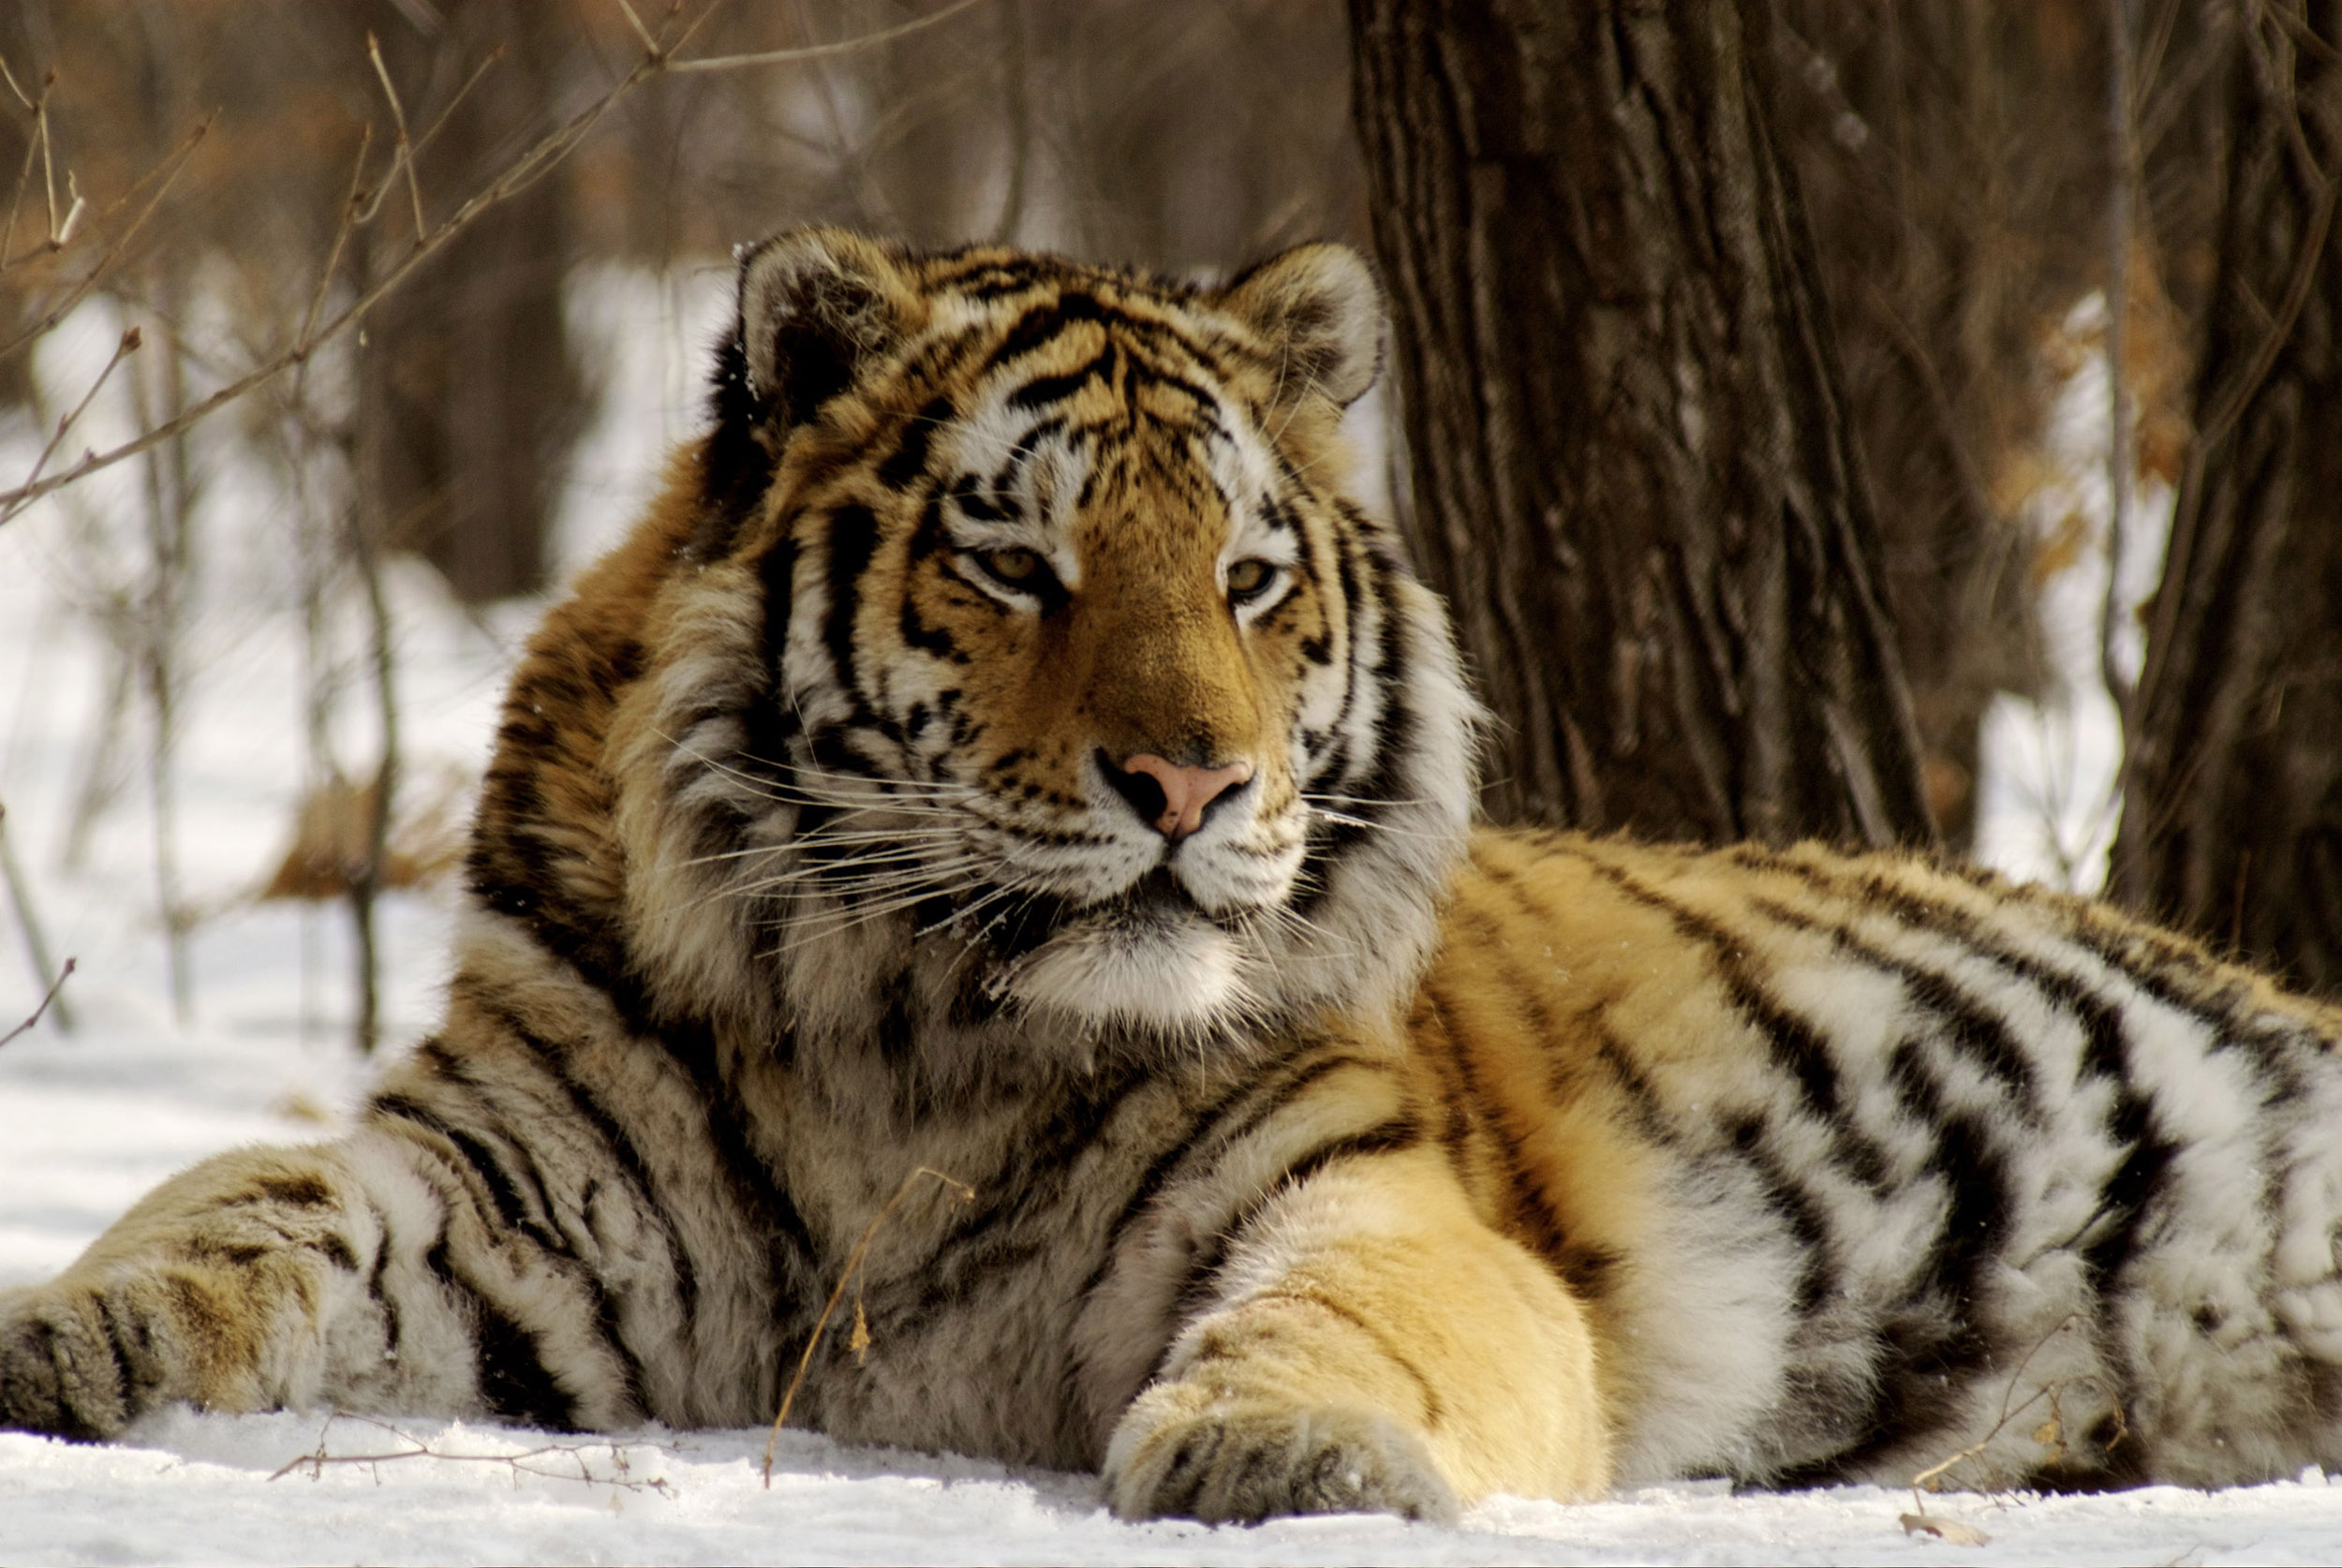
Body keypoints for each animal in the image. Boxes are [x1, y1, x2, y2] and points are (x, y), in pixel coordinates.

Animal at [9, 226, 2342, 1526]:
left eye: (1243, 579)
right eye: (1017, 563)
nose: (1190, 780)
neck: (912, 1044)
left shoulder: (1367, 1194)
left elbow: (1343, 1312)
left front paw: (1278, 1454)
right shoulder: (507, 1187)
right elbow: (241, 1199)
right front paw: (65, 1333)